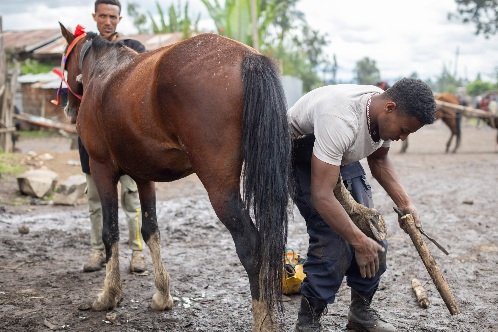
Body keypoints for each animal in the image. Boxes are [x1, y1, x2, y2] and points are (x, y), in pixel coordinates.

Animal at [58, 22, 292, 330]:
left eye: (65, 61)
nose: (69, 108)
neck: (104, 71)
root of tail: (248, 57)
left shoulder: (101, 168)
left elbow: (111, 232)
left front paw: (108, 295)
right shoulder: (143, 176)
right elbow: (150, 230)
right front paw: (162, 295)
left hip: (220, 188)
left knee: (252, 247)